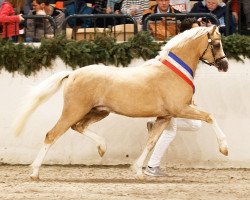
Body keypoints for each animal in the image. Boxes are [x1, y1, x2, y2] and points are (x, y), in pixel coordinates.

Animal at [13, 25, 229, 180]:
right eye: (217, 44)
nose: (225, 65)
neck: (172, 72)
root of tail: (72, 74)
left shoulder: (165, 116)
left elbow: (151, 141)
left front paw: (138, 171)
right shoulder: (180, 109)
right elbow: (210, 117)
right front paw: (224, 148)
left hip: (98, 111)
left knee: (78, 127)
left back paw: (102, 147)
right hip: (74, 110)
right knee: (52, 134)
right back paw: (35, 173)